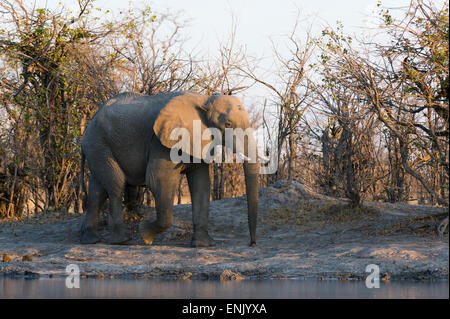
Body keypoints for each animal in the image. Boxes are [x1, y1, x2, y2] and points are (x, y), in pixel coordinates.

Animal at [79, 90, 258, 248]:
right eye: (228, 124)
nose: (252, 243)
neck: (204, 99)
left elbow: (201, 185)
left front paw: (203, 245)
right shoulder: (161, 143)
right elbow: (158, 180)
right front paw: (145, 235)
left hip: (97, 146)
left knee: (97, 189)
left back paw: (90, 240)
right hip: (98, 143)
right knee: (116, 183)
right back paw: (122, 241)